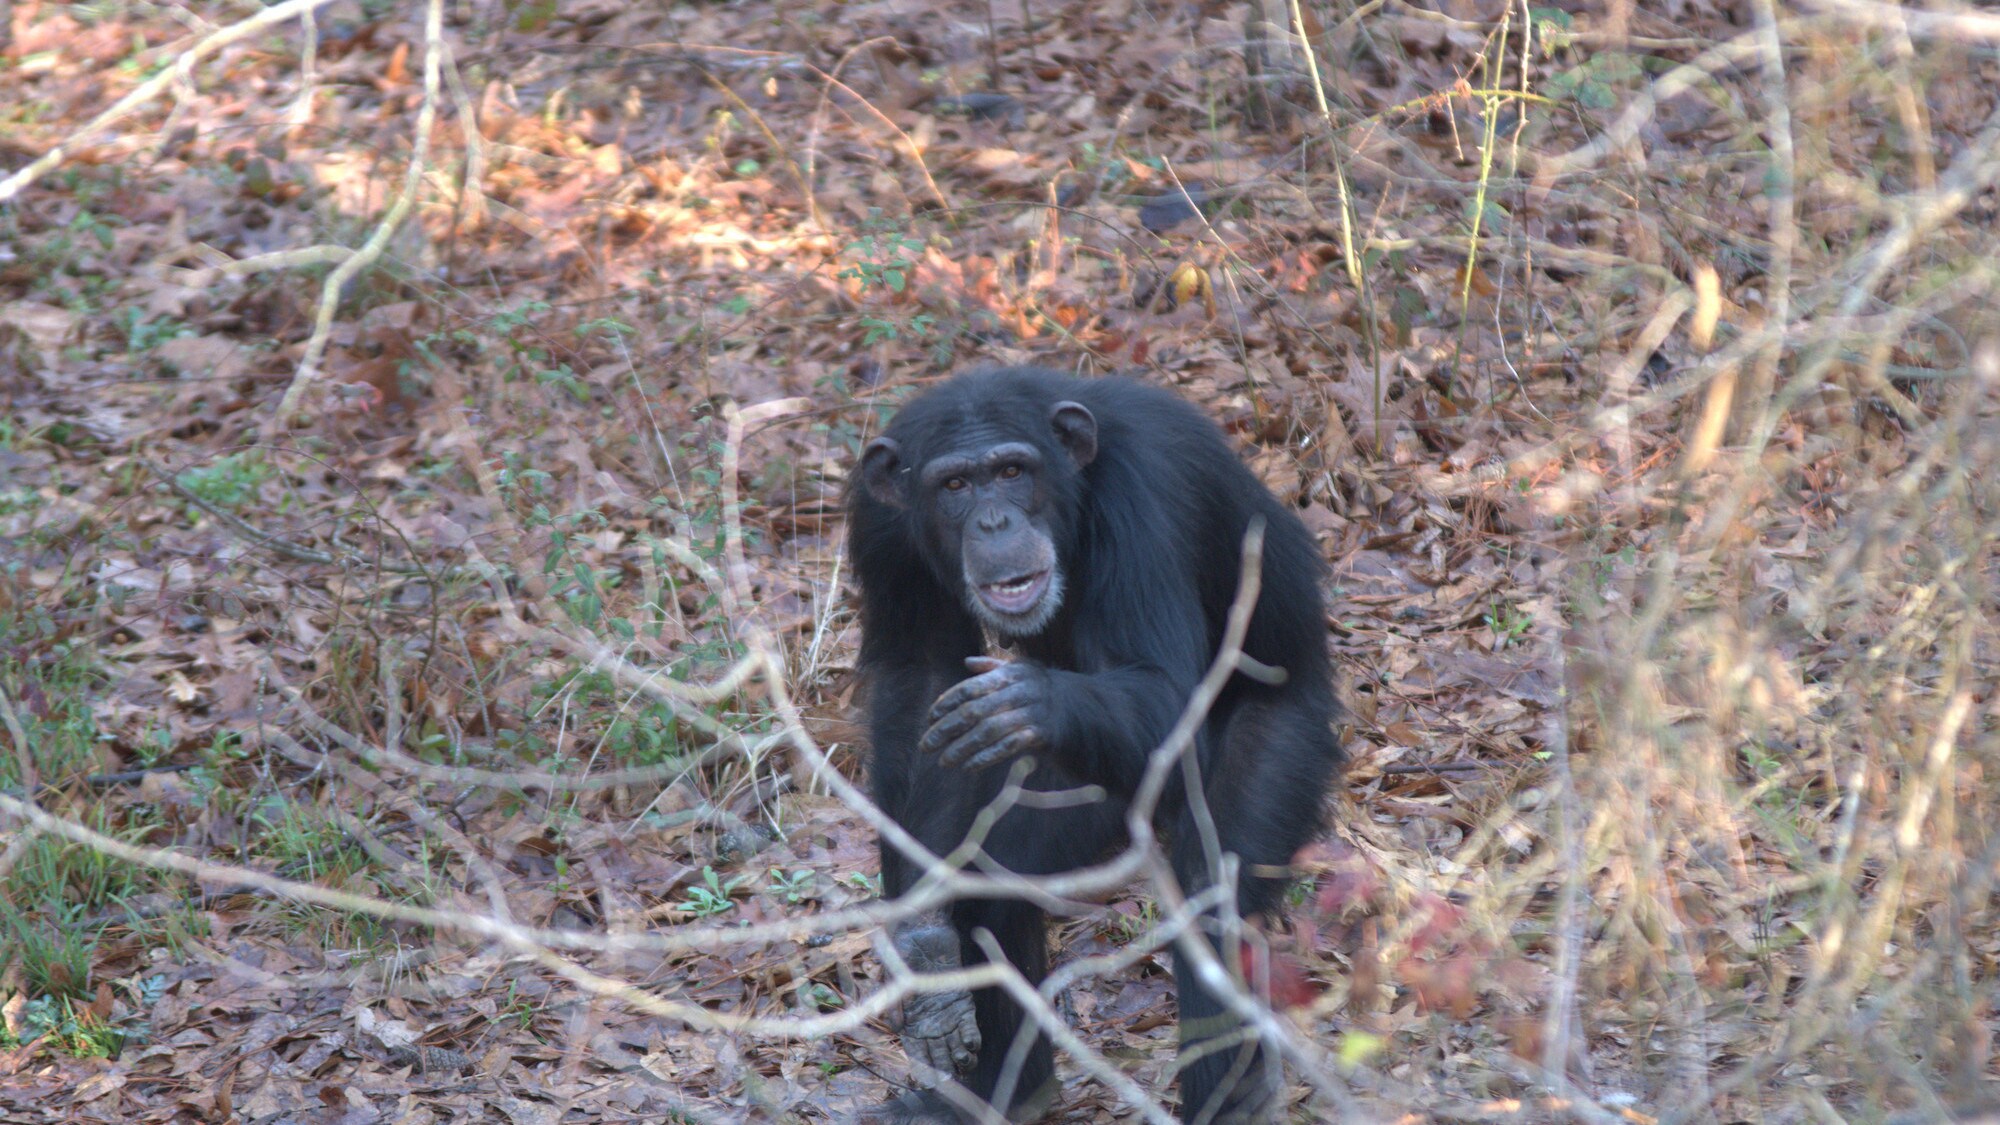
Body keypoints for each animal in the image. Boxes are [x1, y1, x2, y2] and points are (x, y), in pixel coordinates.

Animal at [844, 364, 1344, 1112]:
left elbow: (1166, 687)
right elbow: (921, 682)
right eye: (955, 485)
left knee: (1213, 906)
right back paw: (1007, 1092)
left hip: (1295, 726)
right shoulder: (883, 530)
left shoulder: (1144, 493)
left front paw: (1033, 698)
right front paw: (923, 940)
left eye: (1012, 471)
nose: (994, 519)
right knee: (994, 885)